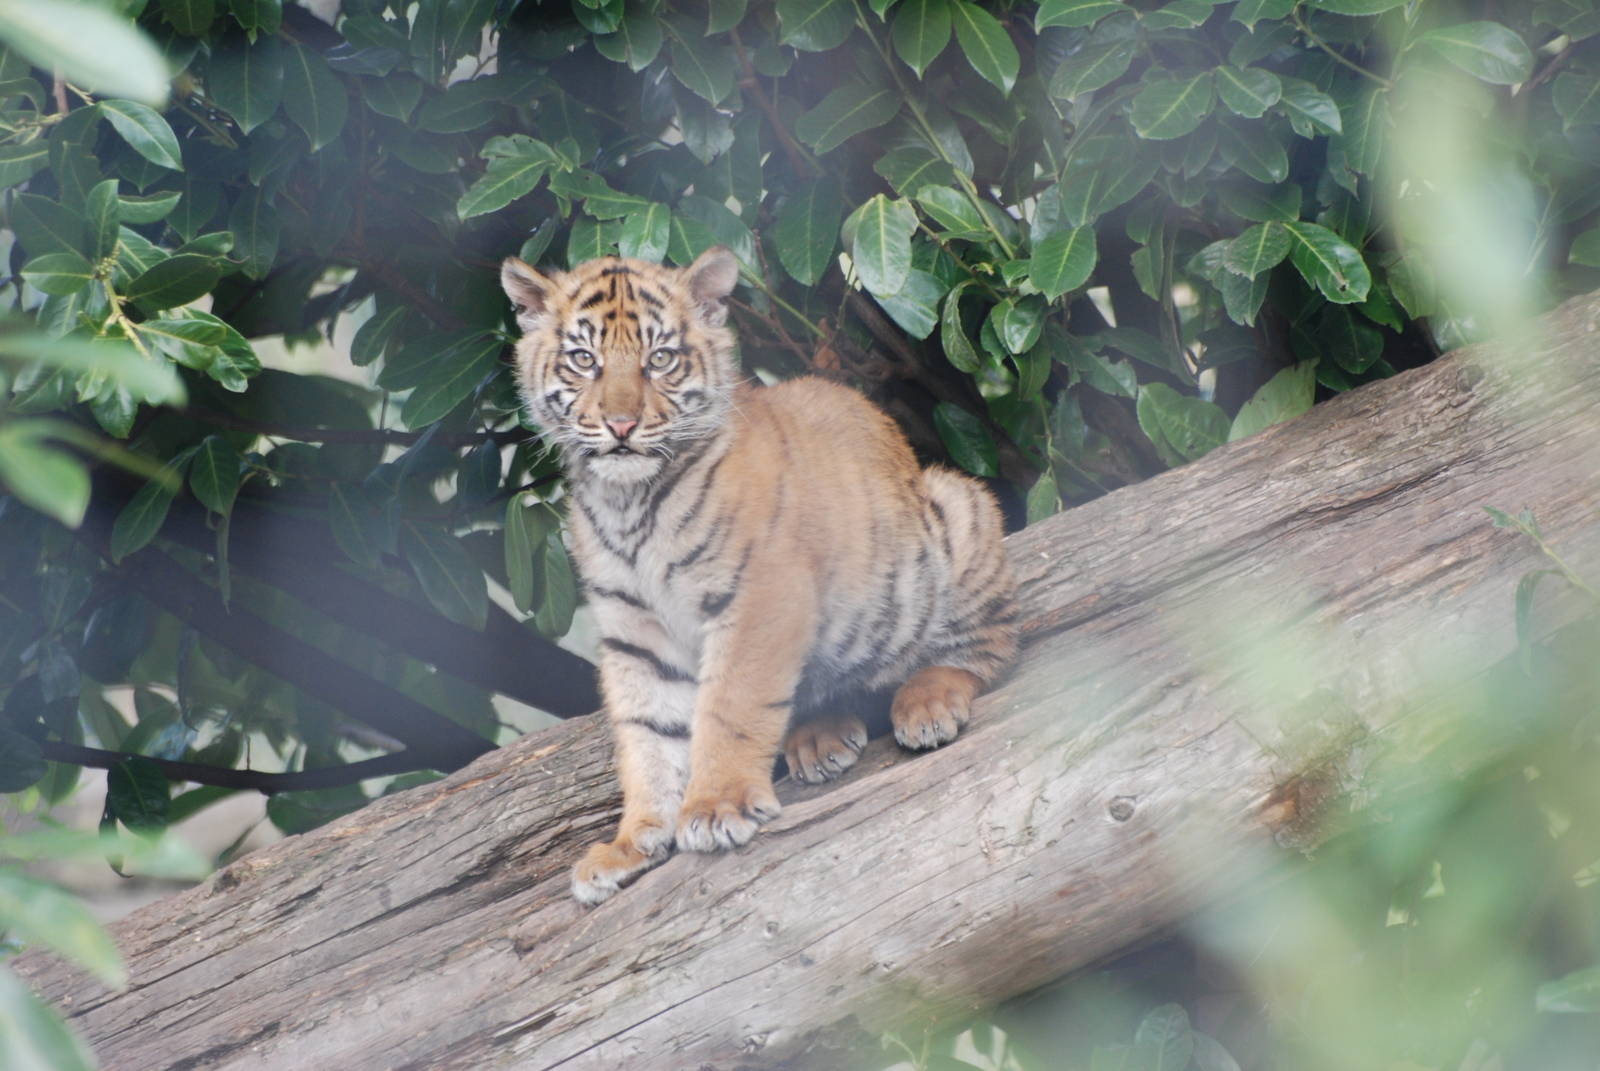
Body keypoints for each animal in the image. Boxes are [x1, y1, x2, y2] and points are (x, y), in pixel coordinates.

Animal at [499, 246, 1018, 905]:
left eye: (660, 359)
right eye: (583, 360)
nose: (620, 426)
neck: (630, 502)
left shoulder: (759, 597)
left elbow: (731, 707)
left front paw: (717, 807)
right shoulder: (634, 634)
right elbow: (646, 736)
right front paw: (630, 843)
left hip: (956, 509)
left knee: (988, 645)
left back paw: (928, 702)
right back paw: (821, 737)